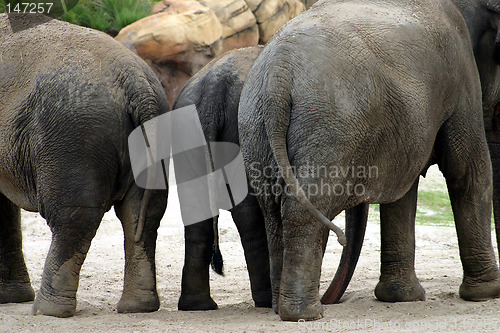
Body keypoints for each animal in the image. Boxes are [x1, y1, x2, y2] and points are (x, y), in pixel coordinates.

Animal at [0, 14, 168, 316]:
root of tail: (134, 80)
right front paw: (11, 298)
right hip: (150, 128)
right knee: (142, 213)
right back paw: (137, 307)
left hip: (75, 134)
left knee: (73, 217)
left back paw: (48, 310)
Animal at [172, 45, 274, 310]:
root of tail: (212, 92)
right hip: (238, 134)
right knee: (249, 212)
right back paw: (269, 300)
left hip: (187, 131)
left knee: (197, 213)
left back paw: (198, 305)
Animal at [237, 0, 500, 320]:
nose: (332, 300)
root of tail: (278, 74)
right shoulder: (459, 72)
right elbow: (467, 171)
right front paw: (488, 293)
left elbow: (404, 187)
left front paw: (401, 297)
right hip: (327, 127)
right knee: (301, 207)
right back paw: (305, 313)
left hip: (256, 124)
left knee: (273, 210)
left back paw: (281, 307)